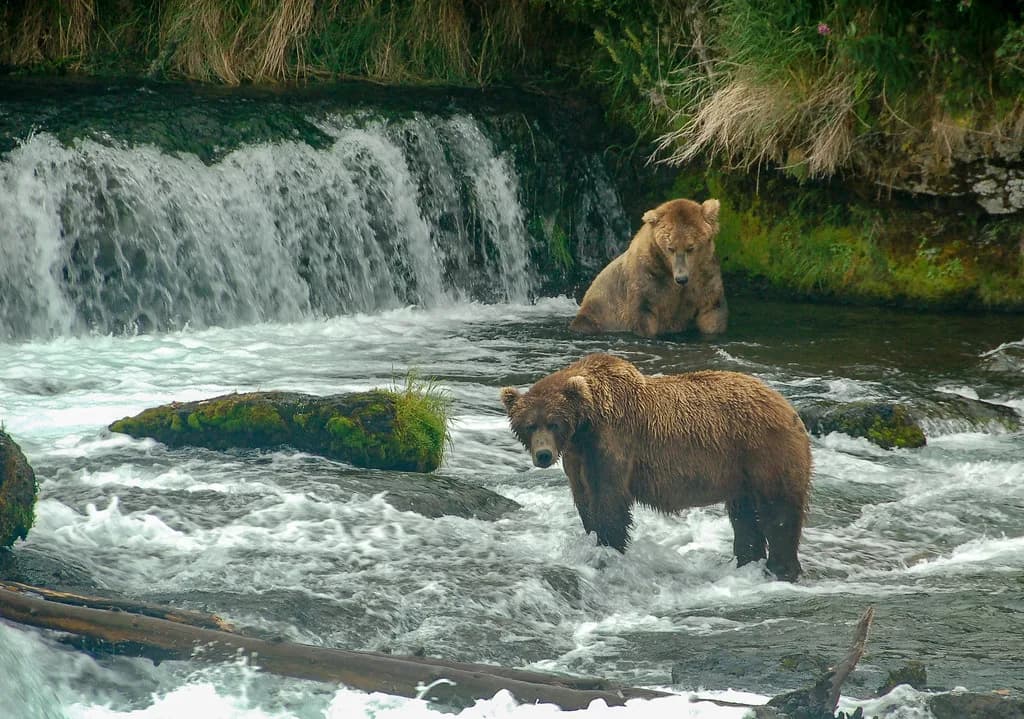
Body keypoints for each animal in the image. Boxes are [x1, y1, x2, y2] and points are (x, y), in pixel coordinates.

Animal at [500, 353, 811, 581]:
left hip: (765, 451)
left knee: (779, 511)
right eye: (530, 425)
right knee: (744, 516)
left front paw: (609, 548)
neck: (587, 423)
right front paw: (593, 538)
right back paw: (747, 562)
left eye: (553, 422)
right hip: (740, 472)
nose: (543, 454)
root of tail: (788, 406)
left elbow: (610, 500)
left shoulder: (614, 442)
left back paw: (783, 569)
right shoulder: (578, 456)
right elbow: (585, 500)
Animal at [569, 197, 727, 338]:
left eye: (690, 247)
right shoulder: (648, 276)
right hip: (598, 311)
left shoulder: (705, 276)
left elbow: (712, 310)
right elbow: (644, 313)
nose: (681, 278)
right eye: (670, 248)